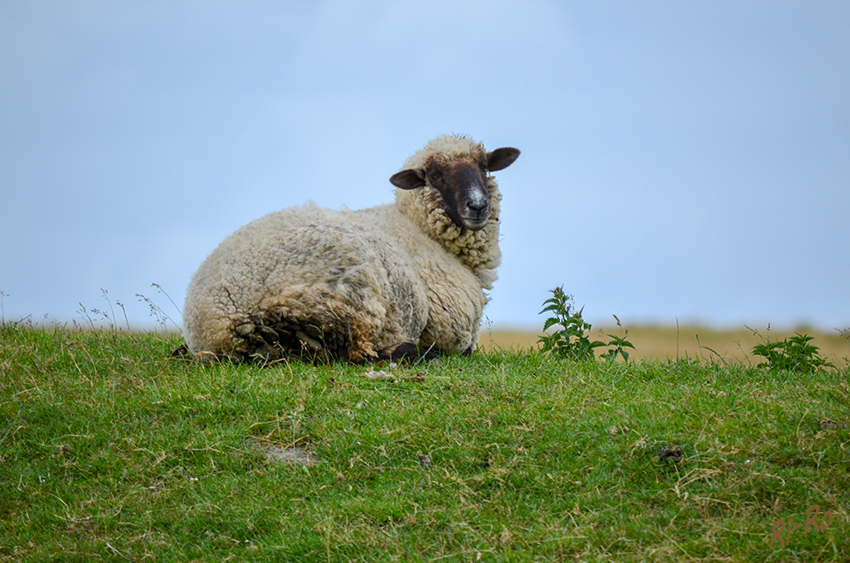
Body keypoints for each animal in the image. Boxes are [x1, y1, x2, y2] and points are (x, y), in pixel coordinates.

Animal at [182, 137, 520, 366]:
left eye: (484, 166)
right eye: (434, 175)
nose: (478, 206)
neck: (416, 227)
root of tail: (218, 324)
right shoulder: (453, 331)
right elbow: (465, 349)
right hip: (351, 292)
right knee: (356, 353)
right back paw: (415, 353)